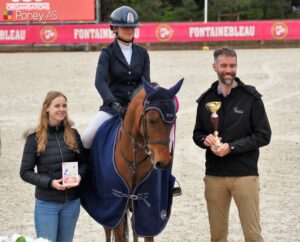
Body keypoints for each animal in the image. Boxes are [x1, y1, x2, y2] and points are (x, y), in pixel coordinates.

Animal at [79, 79, 183, 242]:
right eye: (152, 120)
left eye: (173, 121)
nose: (163, 162)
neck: (134, 161)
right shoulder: (115, 207)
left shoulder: (146, 213)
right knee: (107, 229)